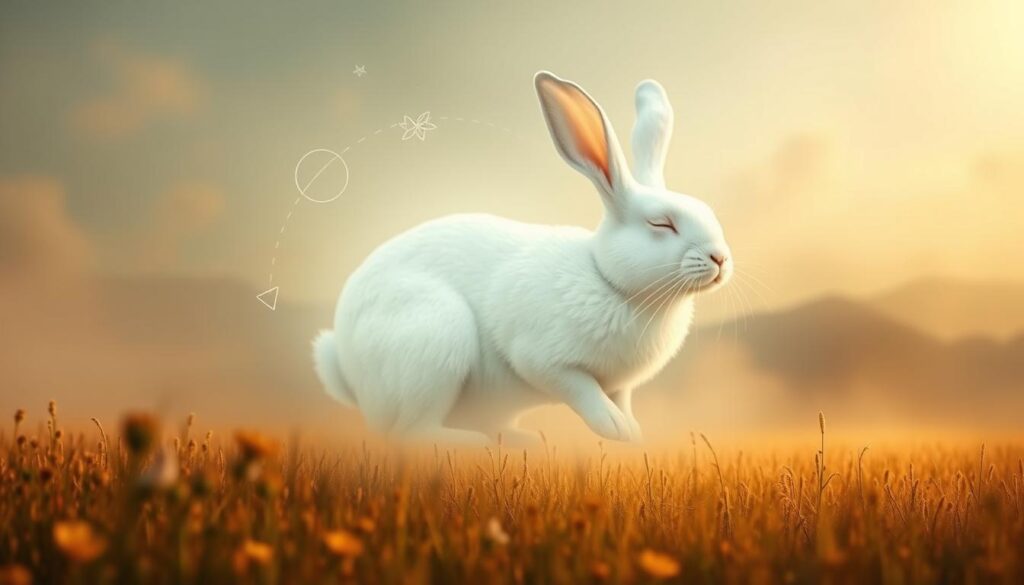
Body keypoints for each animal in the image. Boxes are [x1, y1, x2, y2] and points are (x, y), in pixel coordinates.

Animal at [313, 71, 732, 444]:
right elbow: (583, 390)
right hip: (434, 341)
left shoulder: (621, 385)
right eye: (661, 224)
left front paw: (633, 432)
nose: (720, 259)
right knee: (407, 433)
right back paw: (469, 444)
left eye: (708, 211)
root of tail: (346, 365)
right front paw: (614, 428)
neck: (610, 281)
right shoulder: (542, 359)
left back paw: (519, 439)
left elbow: (621, 400)